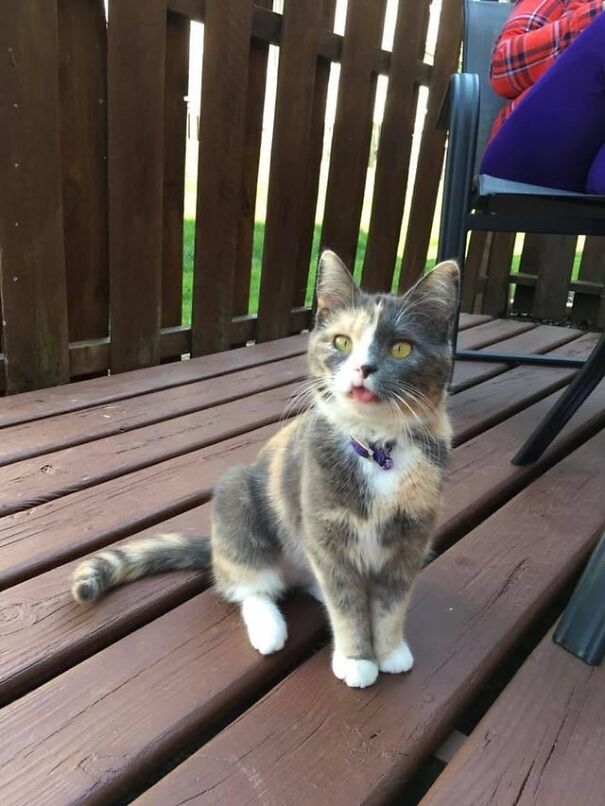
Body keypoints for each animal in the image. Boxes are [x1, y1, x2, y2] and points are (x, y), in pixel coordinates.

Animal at [71, 251, 458, 688]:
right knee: (249, 585)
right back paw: (268, 628)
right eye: (342, 341)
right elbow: (346, 604)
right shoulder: (326, 532)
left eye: (401, 348)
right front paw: (356, 659)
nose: (363, 368)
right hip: (237, 497)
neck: (376, 449)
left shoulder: (411, 538)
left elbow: (392, 603)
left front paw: (390, 650)